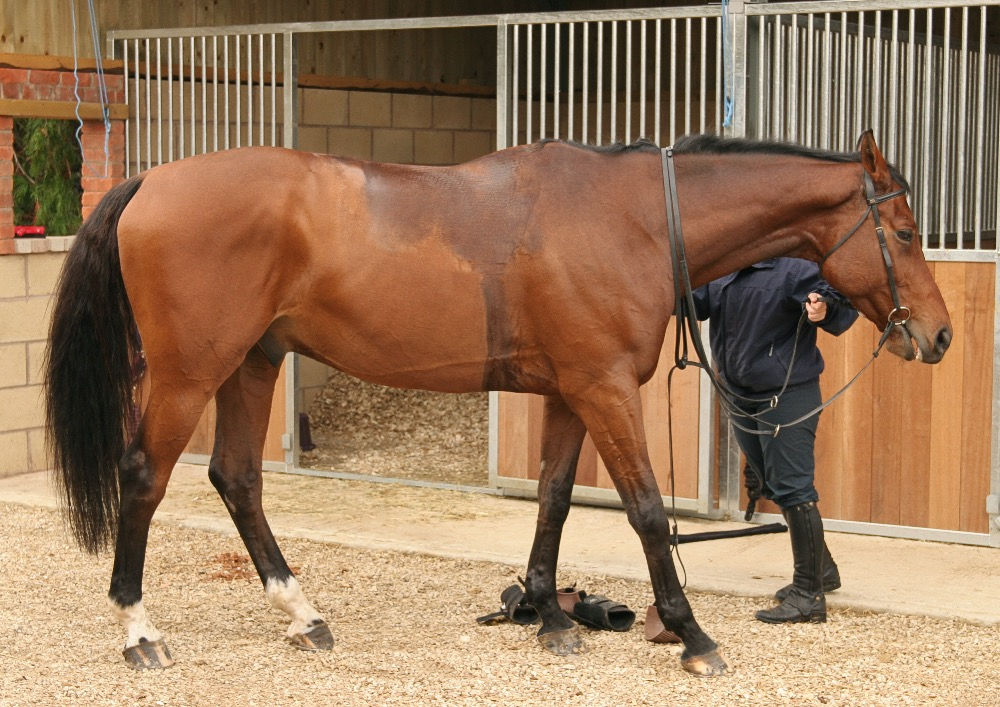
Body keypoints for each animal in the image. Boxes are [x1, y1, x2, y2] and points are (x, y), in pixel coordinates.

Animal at [44, 130, 951, 676]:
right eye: (905, 231)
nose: (938, 336)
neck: (630, 218)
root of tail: (149, 182)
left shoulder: (570, 392)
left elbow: (553, 497)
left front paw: (549, 615)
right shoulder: (604, 389)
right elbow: (646, 508)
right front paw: (691, 634)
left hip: (253, 364)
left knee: (237, 476)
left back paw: (302, 614)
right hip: (190, 373)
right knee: (144, 478)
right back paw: (139, 630)